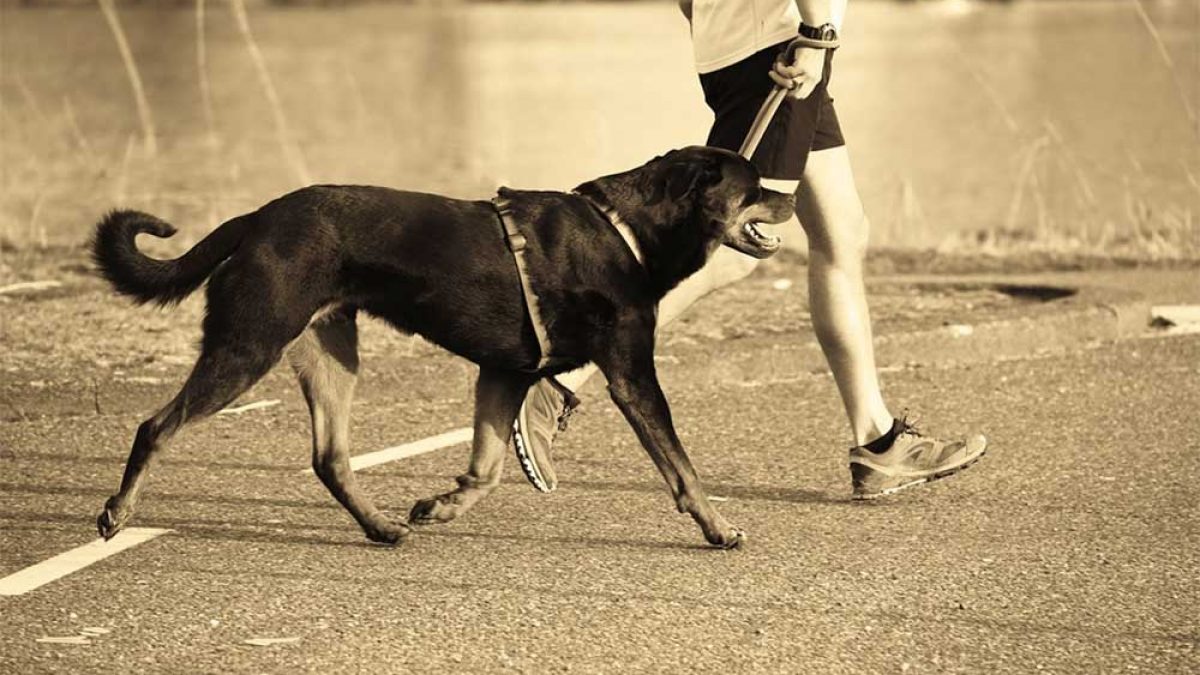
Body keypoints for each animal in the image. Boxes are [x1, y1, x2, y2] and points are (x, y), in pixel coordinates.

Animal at [91, 145, 796, 547]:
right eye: (755, 183)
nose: (792, 198)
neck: (626, 228)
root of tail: (258, 218)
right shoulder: (631, 375)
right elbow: (682, 467)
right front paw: (719, 529)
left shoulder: (503, 373)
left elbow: (486, 468)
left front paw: (442, 507)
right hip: (249, 343)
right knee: (156, 426)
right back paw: (117, 513)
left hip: (330, 351)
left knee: (329, 457)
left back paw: (380, 527)